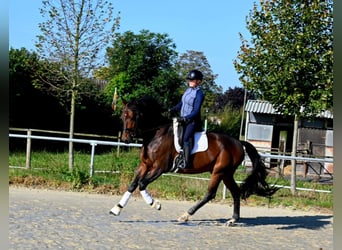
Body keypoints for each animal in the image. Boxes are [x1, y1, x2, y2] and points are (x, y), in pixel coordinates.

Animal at [109, 95, 278, 225]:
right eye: (123, 115)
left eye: (135, 116)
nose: (126, 139)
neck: (156, 134)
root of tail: (238, 142)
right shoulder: (144, 165)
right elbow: (133, 184)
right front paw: (116, 208)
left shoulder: (159, 168)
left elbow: (142, 184)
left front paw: (155, 204)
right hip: (226, 173)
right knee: (235, 192)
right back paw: (233, 220)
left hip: (219, 171)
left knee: (210, 194)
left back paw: (185, 215)